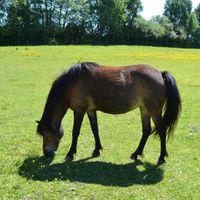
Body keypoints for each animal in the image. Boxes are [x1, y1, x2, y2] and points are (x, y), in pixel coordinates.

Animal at [36, 62, 181, 164]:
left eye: (45, 134)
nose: (46, 153)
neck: (72, 83)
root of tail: (160, 73)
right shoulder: (90, 110)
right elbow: (95, 129)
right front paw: (96, 150)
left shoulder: (79, 111)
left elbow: (75, 132)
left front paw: (70, 154)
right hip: (144, 109)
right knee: (146, 130)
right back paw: (136, 153)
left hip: (154, 111)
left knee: (161, 131)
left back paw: (161, 157)